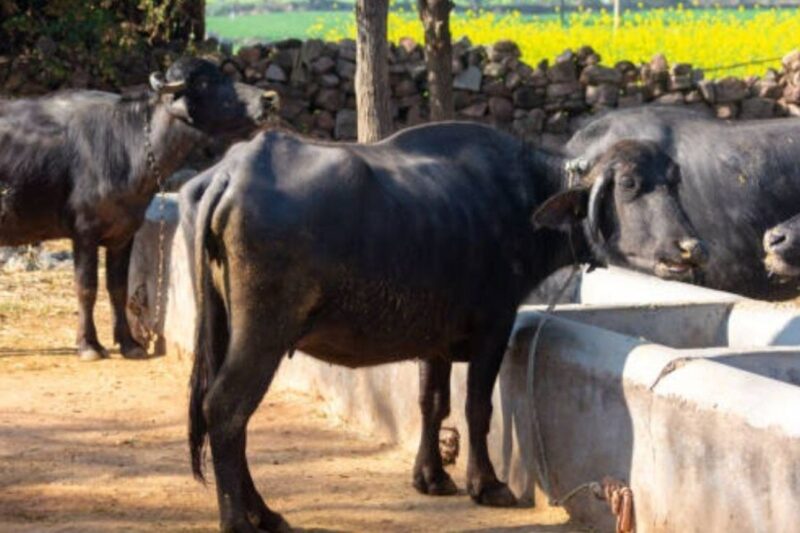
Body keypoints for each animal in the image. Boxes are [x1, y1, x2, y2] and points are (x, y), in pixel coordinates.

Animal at [0, 58, 273, 360]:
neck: (127, 145)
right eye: (204, 83)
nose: (268, 99)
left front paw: (129, 342)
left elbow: (118, 287)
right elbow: (87, 288)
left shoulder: (124, 233)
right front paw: (89, 344)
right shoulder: (84, 232)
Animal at [180, 122, 704, 532]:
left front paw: (431, 477)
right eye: (630, 184)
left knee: (230, 413)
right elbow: (477, 408)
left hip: (222, 323)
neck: (521, 203)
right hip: (263, 332)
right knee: (226, 408)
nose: (689, 247)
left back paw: (265, 514)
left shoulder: (433, 340)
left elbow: (431, 403)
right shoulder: (494, 328)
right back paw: (239, 519)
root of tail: (231, 173)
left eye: (674, 182)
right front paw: (487, 484)